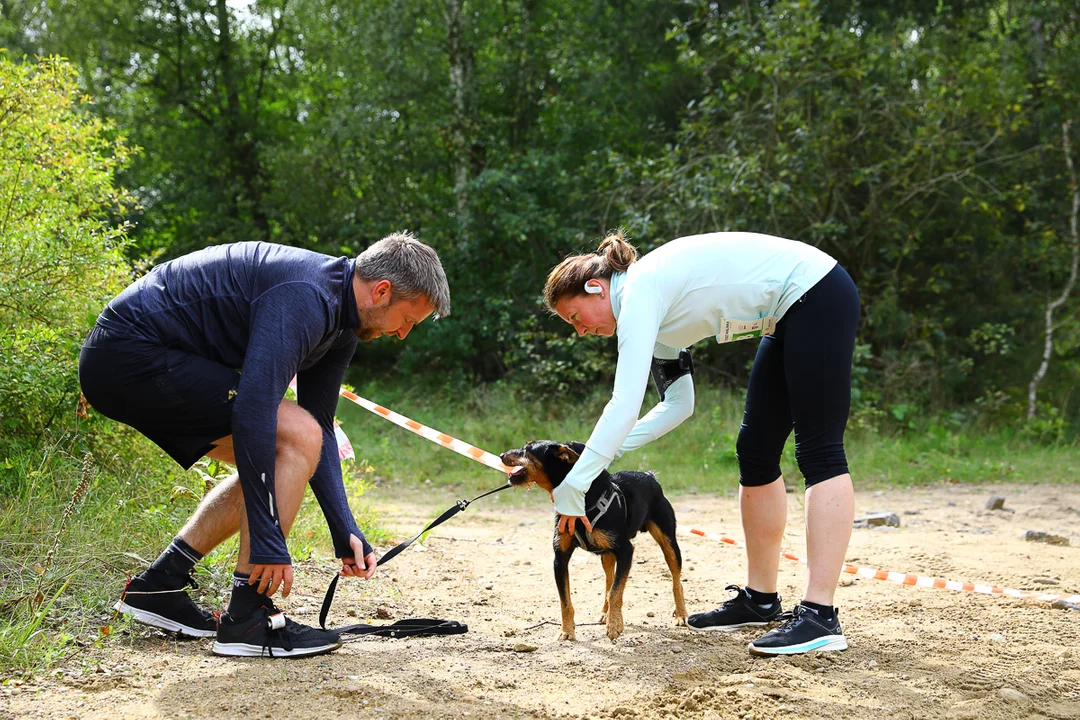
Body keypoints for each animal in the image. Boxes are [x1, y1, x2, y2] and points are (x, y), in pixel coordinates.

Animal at [498, 440, 686, 643]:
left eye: (527, 450)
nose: (501, 455)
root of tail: (650, 476)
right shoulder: (560, 558)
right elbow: (566, 601)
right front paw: (567, 631)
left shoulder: (626, 551)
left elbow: (616, 592)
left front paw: (614, 626)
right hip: (607, 555)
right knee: (609, 580)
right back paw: (605, 614)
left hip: (668, 542)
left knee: (676, 579)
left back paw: (681, 614)